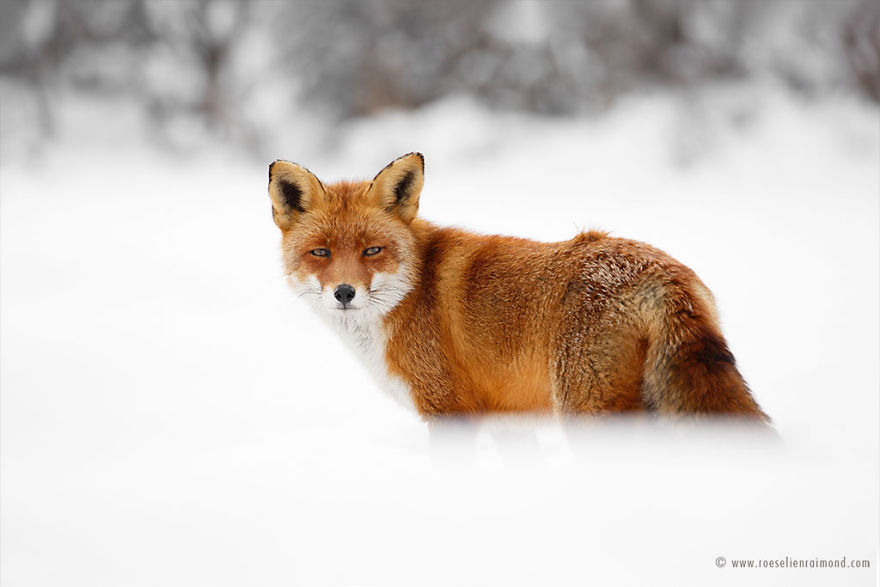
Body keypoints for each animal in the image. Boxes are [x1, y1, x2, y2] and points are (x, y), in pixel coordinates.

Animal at [267, 153, 769, 422]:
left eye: (372, 251)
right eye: (320, 253)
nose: (344, 293)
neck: (409, 294)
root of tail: (660, 273)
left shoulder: (449, 411)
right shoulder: (506, 420)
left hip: (585, 408)